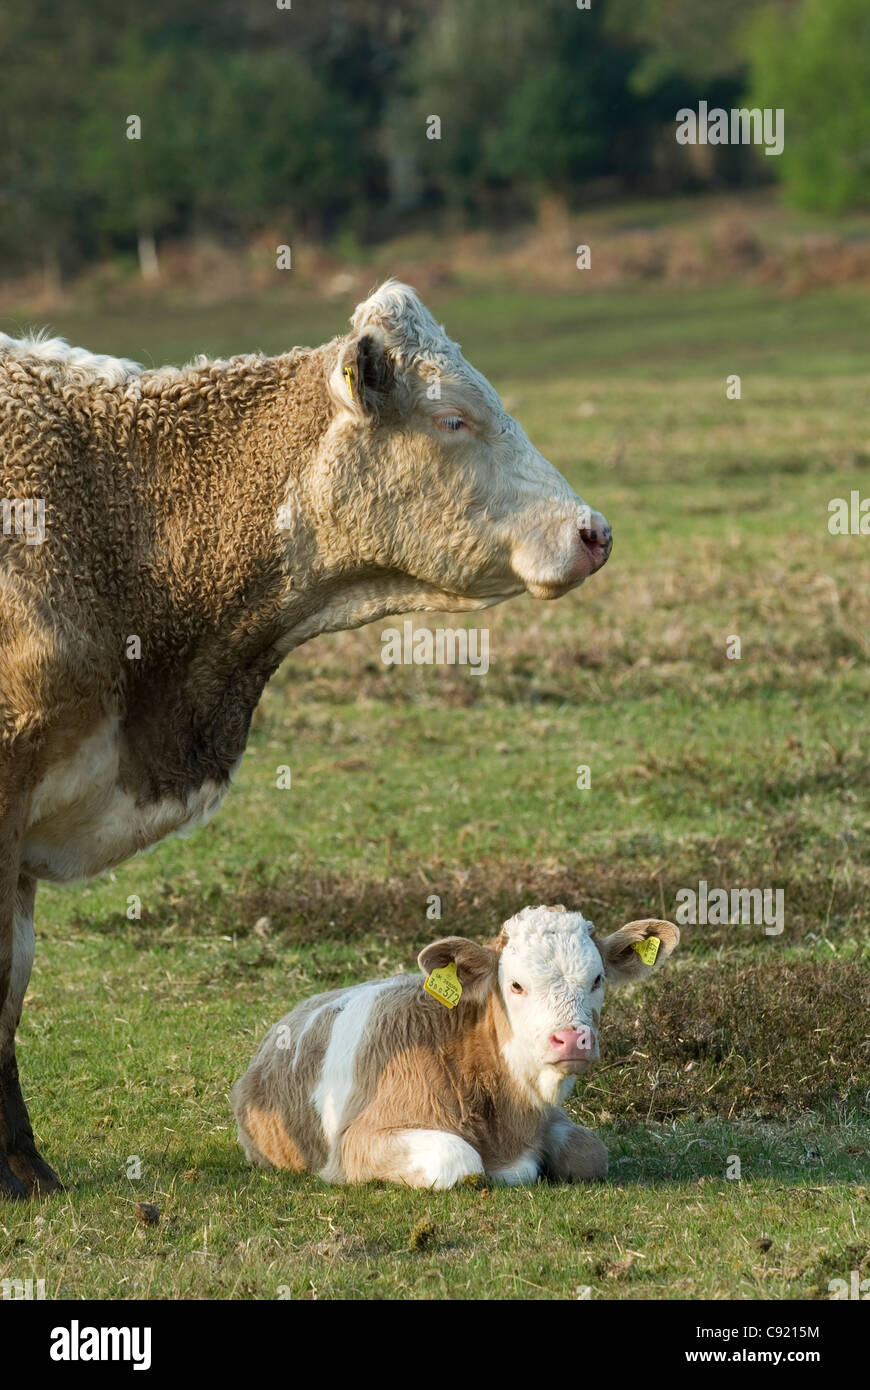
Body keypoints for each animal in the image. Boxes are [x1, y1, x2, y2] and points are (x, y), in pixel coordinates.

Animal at [230, 906, 678, 1189]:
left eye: (597, 979)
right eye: (516, 984)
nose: (572, 1039)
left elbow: (590, 1152)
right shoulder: (357, 1140)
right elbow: (459, 1160)